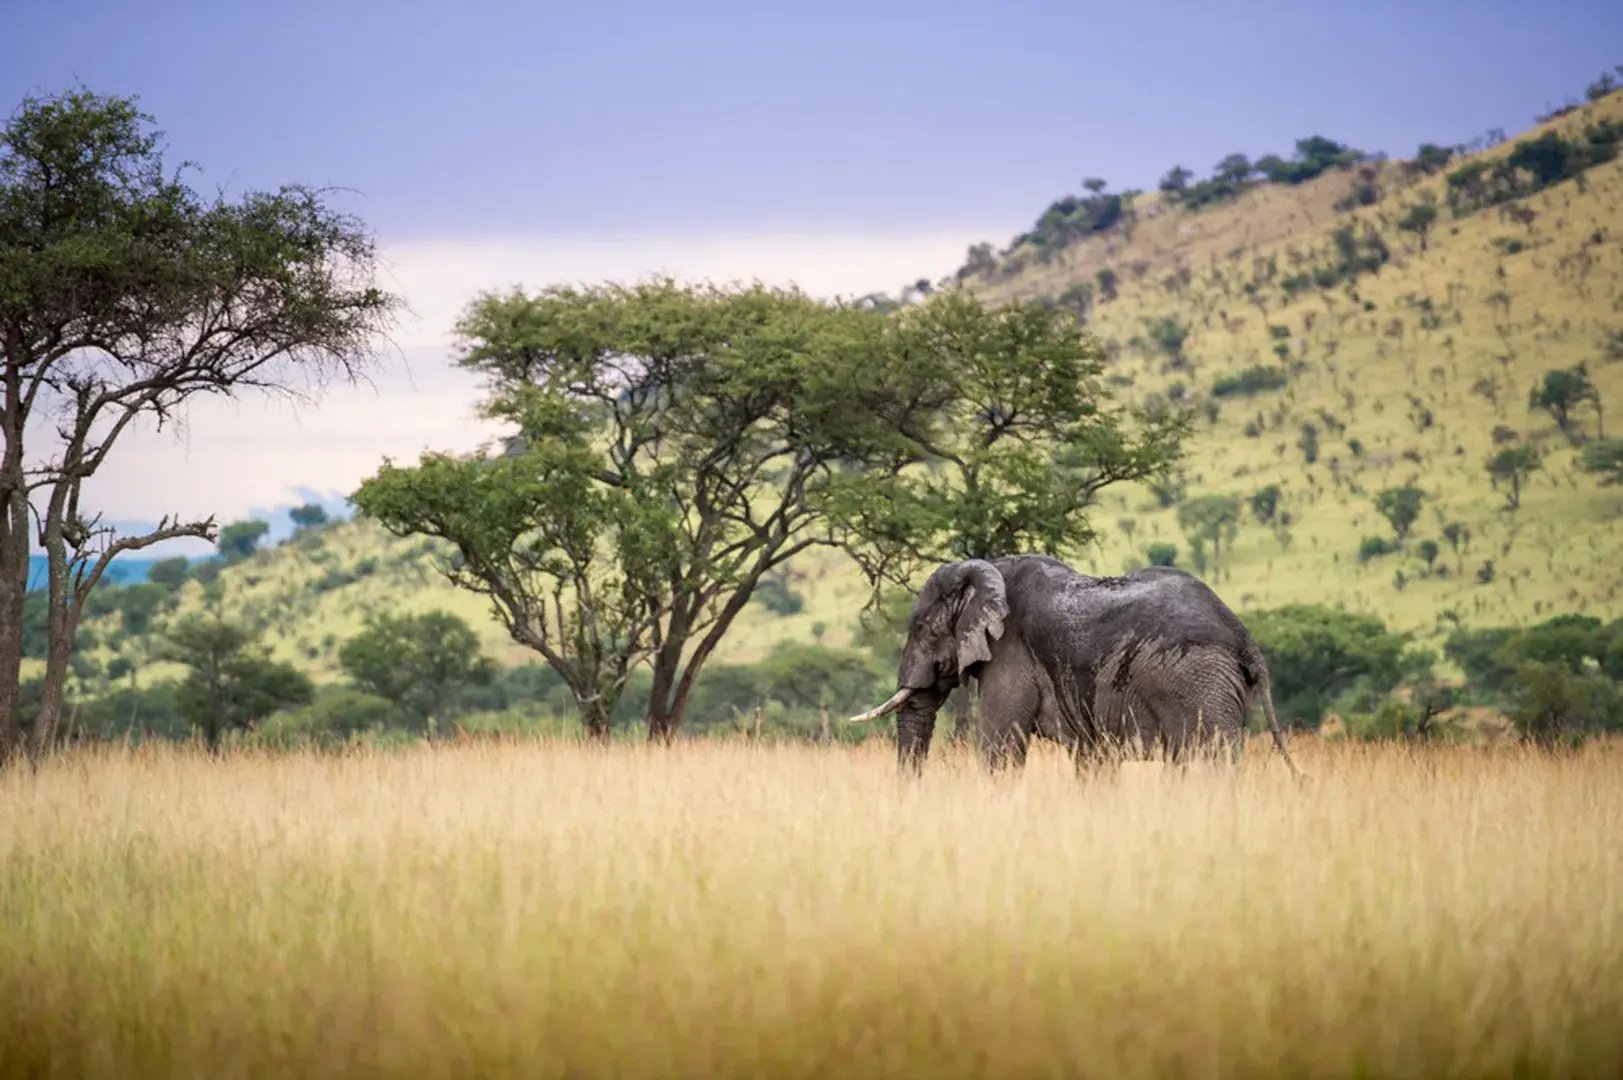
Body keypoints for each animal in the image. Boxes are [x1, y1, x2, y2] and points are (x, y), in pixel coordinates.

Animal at [849, 554, 1303, 779]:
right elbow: (1093, 759)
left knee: (1209, 759)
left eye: (922, 629)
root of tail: (1243, 636)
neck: (988, 568)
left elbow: (1000, 749)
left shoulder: (1010, 654)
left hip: (1197, 680)